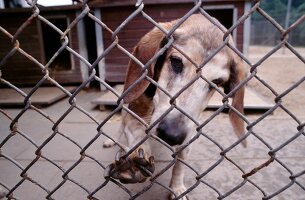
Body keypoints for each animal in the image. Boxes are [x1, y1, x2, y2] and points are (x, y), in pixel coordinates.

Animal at [102, 13, 245, 199]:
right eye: (176, 61)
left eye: (217, 82)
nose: (171, 135)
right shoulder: (133, 112)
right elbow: (137, 131)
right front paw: (137, 156)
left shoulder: (189, 133)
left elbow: (180, 164)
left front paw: (177, 187)